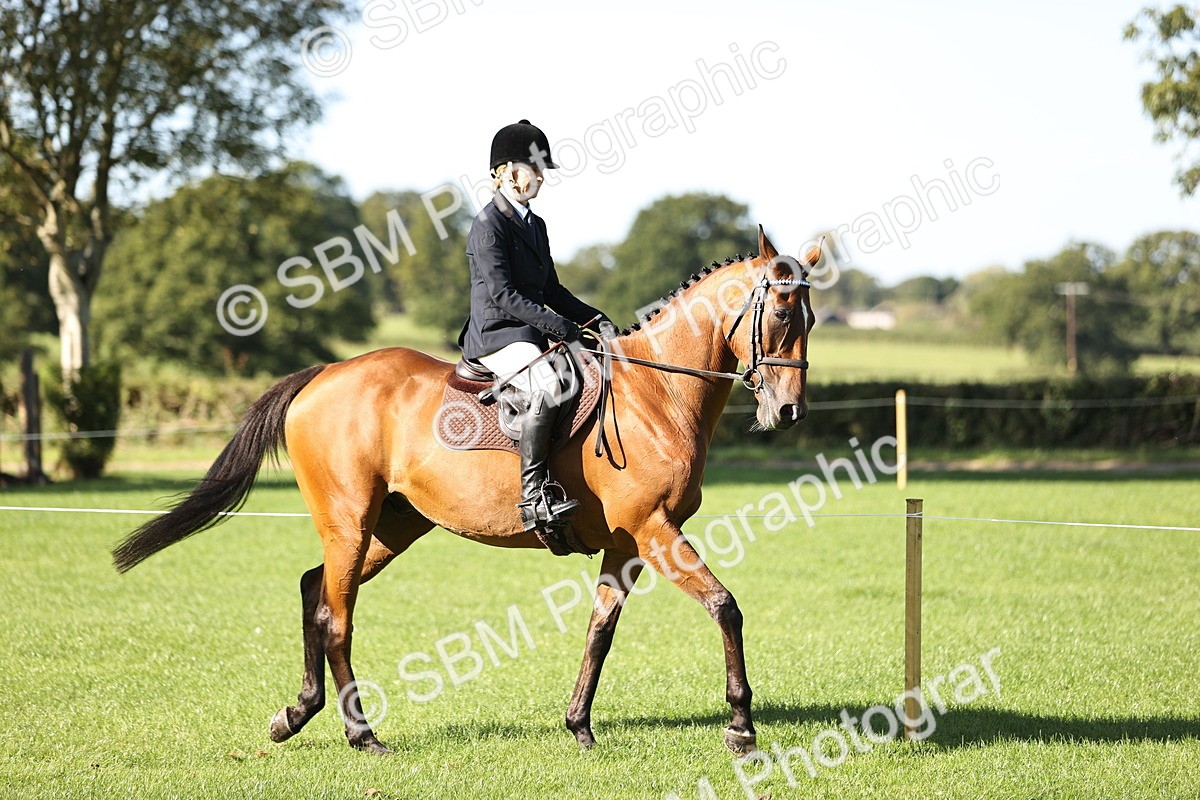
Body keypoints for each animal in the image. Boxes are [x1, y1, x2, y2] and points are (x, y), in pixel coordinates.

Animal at [112, 226, 819, 756]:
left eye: (811, 318)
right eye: (783, 313)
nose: (789, 413)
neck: (658, 393)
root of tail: (325, 375)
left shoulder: (629, 543)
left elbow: (600, 631)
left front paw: (579, 726)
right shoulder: (655, 530)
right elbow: (725, 607)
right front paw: (741, 727)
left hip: (393, 525)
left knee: (315, 589)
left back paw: (298, 714)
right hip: (351, 520)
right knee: (337, 616)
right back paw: (362, 736)